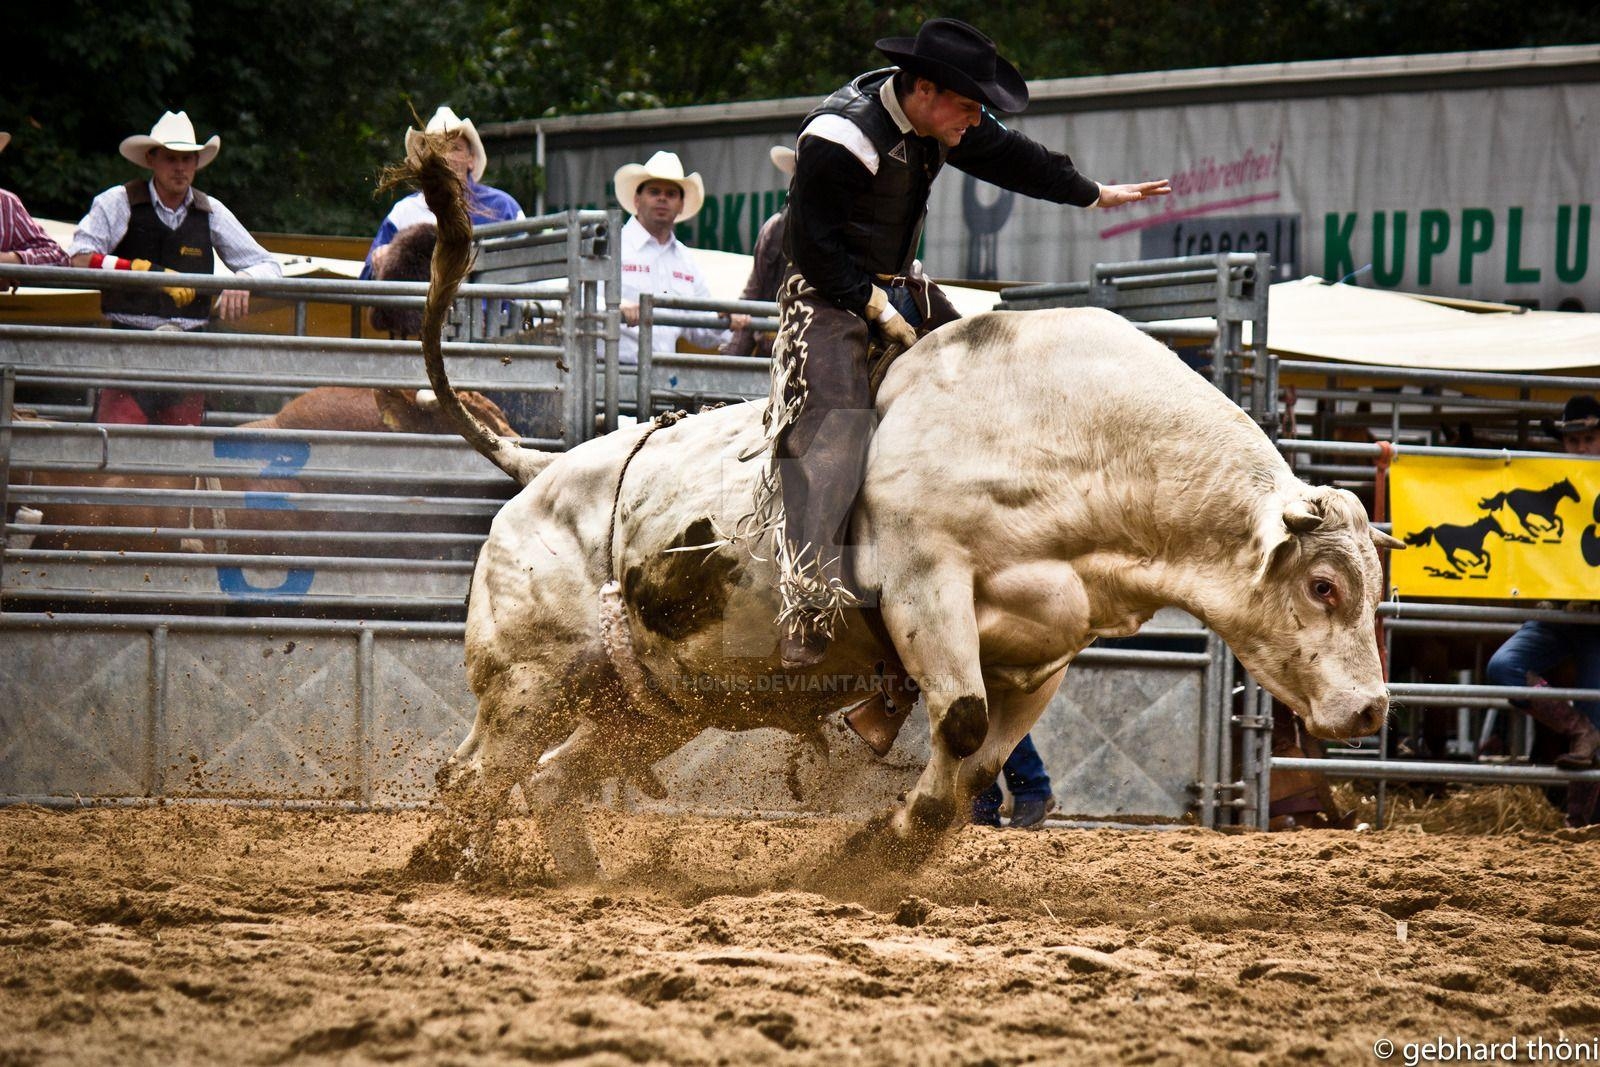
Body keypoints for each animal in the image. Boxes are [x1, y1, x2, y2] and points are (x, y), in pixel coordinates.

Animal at [416, 302, 1401, 883]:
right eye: (1323, 584)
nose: (1371, 709)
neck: (1072, 434)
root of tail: (537, 475)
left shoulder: (1044, 655)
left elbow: (980, 766)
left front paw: (880, 848)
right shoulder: (927, 589)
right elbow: (958, 721)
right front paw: (875, 841)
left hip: (653, 706)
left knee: (544, 778)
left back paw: (583, 878)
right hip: (529, 679)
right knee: (474, 774)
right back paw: (436, 865)